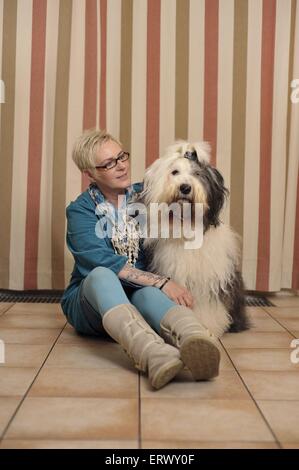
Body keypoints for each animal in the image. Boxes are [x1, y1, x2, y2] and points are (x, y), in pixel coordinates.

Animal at [138, 140, 251, 338]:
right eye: (174, 172)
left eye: (197, 174)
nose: (185, 187)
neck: (185, 229)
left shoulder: (209, 280)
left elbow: (207, 305)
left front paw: (207, 327)